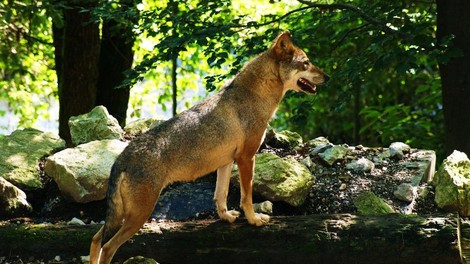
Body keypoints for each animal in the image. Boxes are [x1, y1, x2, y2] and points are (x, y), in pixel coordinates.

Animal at [90, 30, 328, 262]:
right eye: (306, 63)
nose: (328, 77)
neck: (254, 94)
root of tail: (121, 159)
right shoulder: (246, 158)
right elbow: (246, 197)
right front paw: (253, 220)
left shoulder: (227, 162)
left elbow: (221, 195)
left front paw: (227, 217)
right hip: (137, 217)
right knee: (107, 248)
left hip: (121, 216)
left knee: (95, 240)